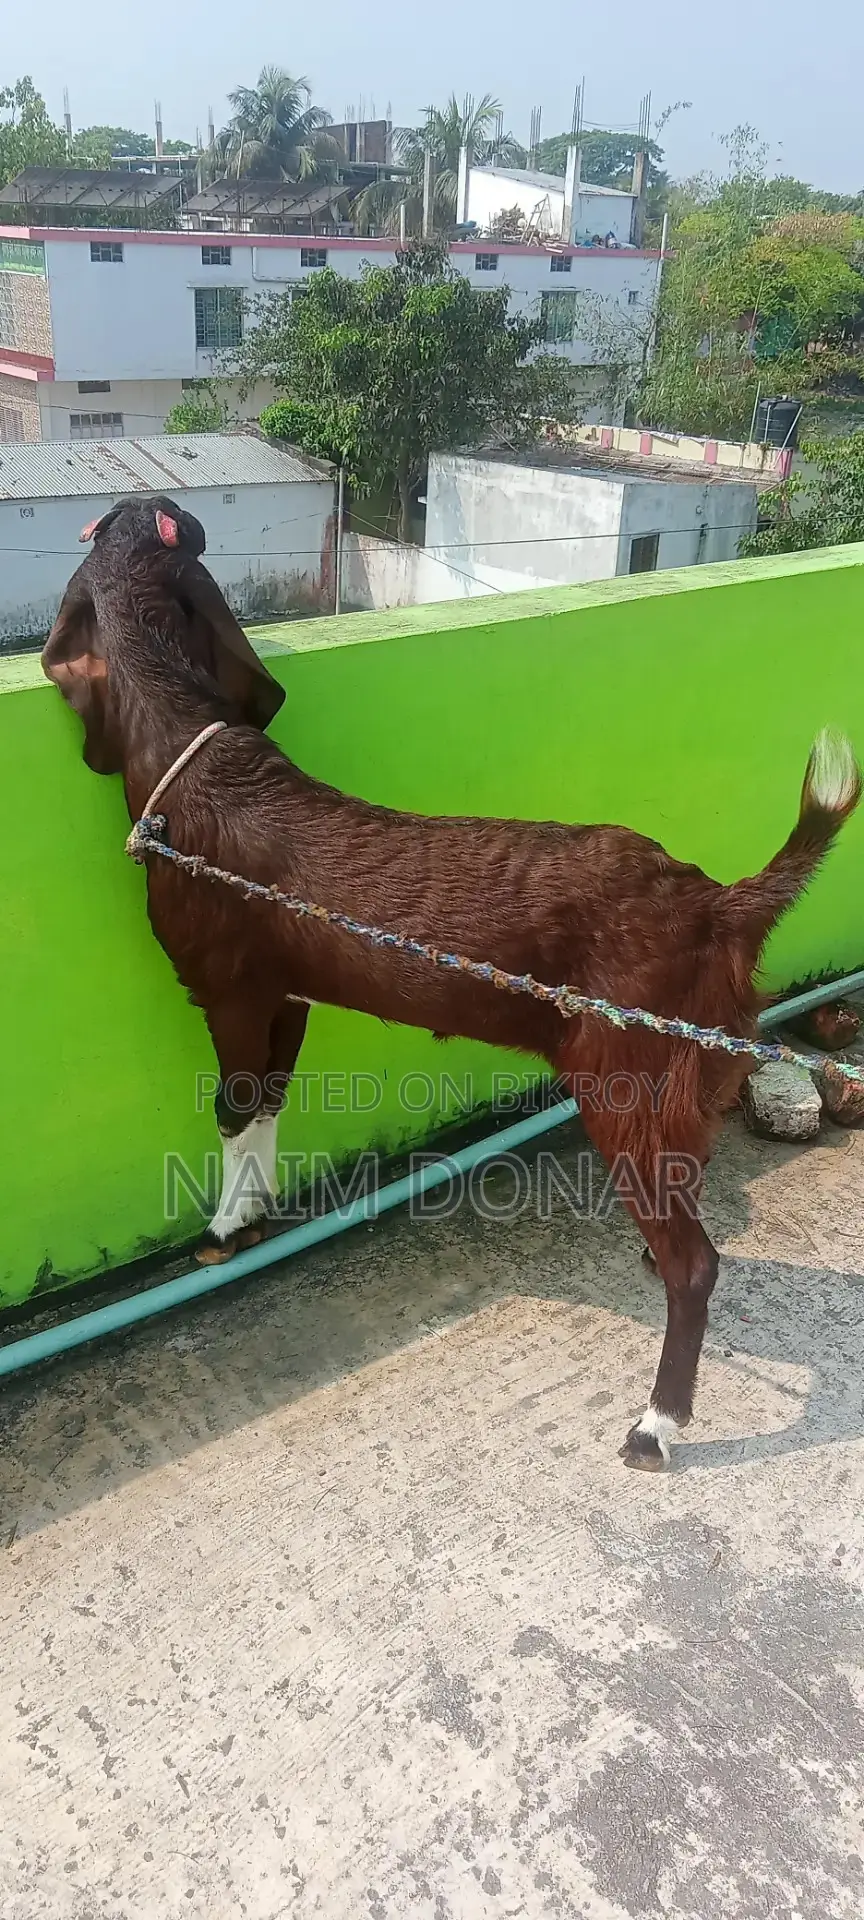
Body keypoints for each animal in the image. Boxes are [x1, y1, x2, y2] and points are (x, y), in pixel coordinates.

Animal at [43, 496, 862, 1470]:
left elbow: (233, 1106)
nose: (157, 508)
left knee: (697, 1263)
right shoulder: (288, 994)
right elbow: (273, 1097)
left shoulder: (227, 986)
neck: (186, 756)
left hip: (623, 1072)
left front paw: (221, 1232)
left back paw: (656, 1422)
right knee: (687, 1192)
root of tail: (721, 904)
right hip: (690, 1066)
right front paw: (260, 1209)